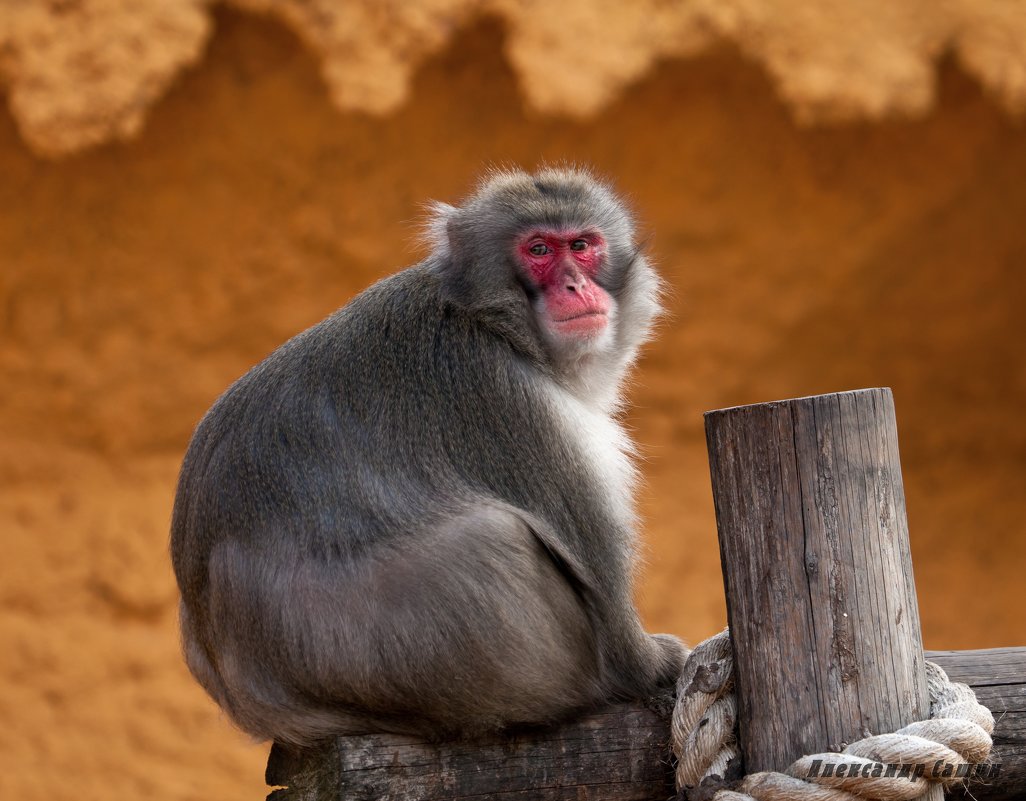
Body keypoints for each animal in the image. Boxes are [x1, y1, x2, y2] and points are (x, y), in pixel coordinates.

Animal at [170, 165, 689, 746]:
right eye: (538, 250)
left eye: (581, 245)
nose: (576, 285)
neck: (495, 321)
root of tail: (257, 706)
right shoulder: (504, 400)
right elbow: (610, 612)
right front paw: (654, 662)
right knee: (493, 536)